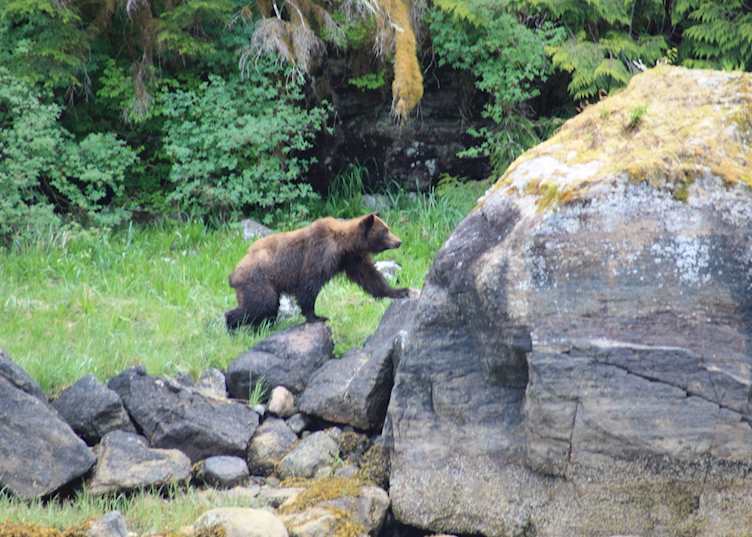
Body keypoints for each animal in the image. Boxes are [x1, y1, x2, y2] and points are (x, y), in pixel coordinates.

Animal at [225, 213, 409, 330]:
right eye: (385, 230)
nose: (399, 241)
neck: (344, 245)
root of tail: (233, 274)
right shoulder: (319, 253)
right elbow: (308, 285)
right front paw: (317, 316)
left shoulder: (351, 259)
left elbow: (370, 277)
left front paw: (400, 291)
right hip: (259, 280)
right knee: (262, 304)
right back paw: (232, 323)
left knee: (267, 307)